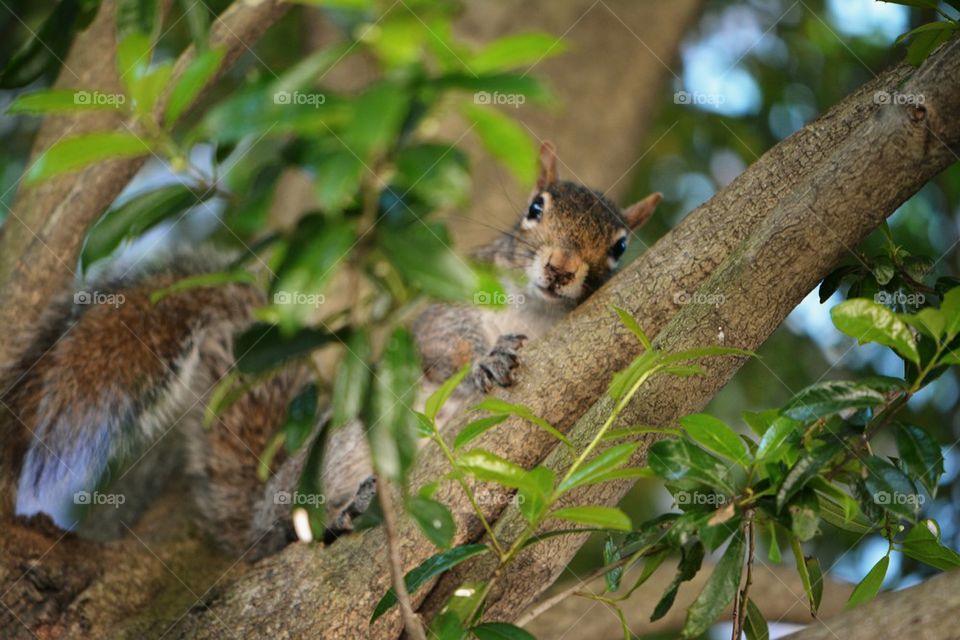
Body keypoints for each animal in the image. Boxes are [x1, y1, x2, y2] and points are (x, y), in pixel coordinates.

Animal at [0, 141, 660, 559]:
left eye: (620, 246)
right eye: (535, 207)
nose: (562, 268)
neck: (534, 309)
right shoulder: (442, 304)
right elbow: (438, 341)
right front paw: (483, 359)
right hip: (333, 453)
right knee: (282, 531)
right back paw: (328, 518)